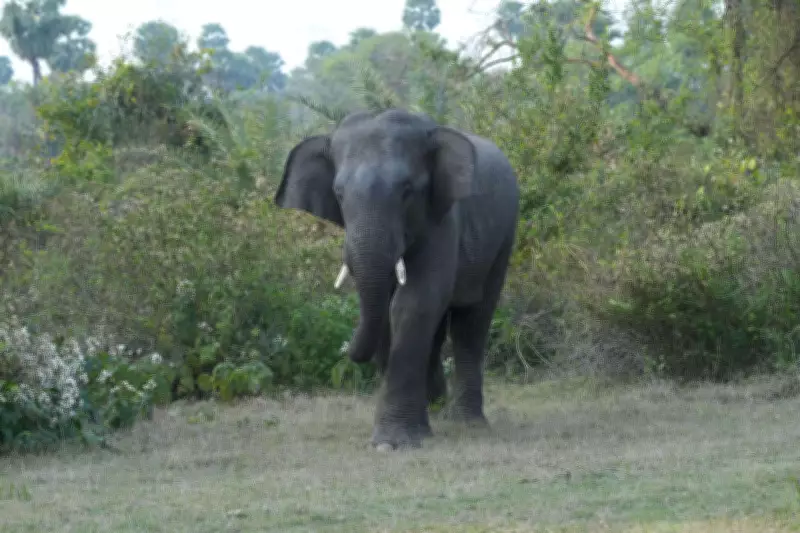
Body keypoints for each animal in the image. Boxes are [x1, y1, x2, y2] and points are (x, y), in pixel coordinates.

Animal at [274, 108, 520, 450]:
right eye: (339, 193)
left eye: (407, 190)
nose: (348, 352)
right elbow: (389, 312)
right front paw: (410, 433)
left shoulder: (442, 219)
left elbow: (413, 303)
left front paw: (392, 443)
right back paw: (436, 411)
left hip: (504, 236)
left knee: (472, 322)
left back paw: (467, 422)